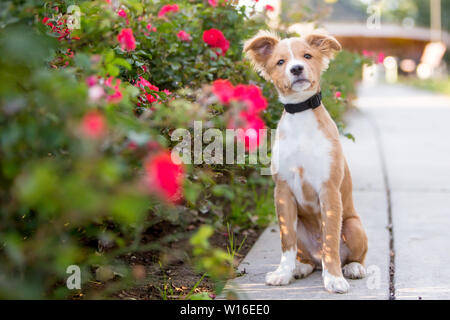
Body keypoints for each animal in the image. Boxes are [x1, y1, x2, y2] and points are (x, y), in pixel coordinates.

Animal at [244, 31, 368, 294]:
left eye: (307, 56)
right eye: (280, 62)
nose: (296, 68)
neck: (301, 116)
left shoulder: (329, 190)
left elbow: (331, 240)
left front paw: (334, 279)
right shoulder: (282, 192)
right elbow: (286, 242)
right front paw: (283, 273)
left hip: (353, 226)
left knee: (354, 254)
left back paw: (353, 268)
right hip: (300, 226)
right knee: (306, 257)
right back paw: (300, 267)